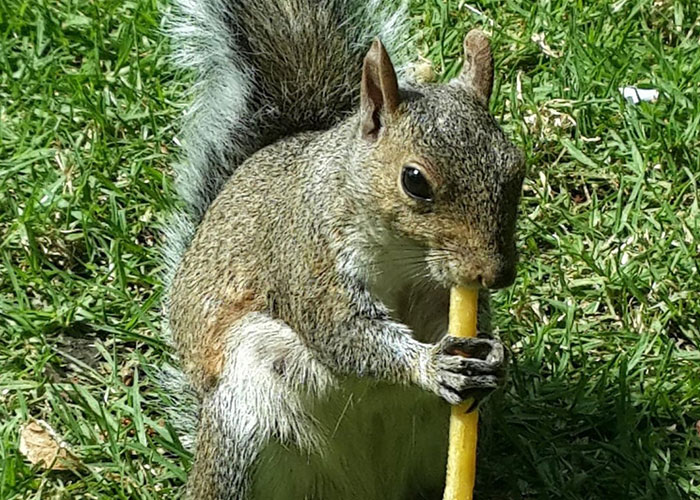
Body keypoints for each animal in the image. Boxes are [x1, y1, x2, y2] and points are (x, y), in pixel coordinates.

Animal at [164, 0, 525, 498]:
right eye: (415, 180)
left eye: (516, 166)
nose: (495, 274)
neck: (404, 256)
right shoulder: (309, 259)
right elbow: (343, 333)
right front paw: (430, 365)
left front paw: (494, 356)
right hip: (241, 428)